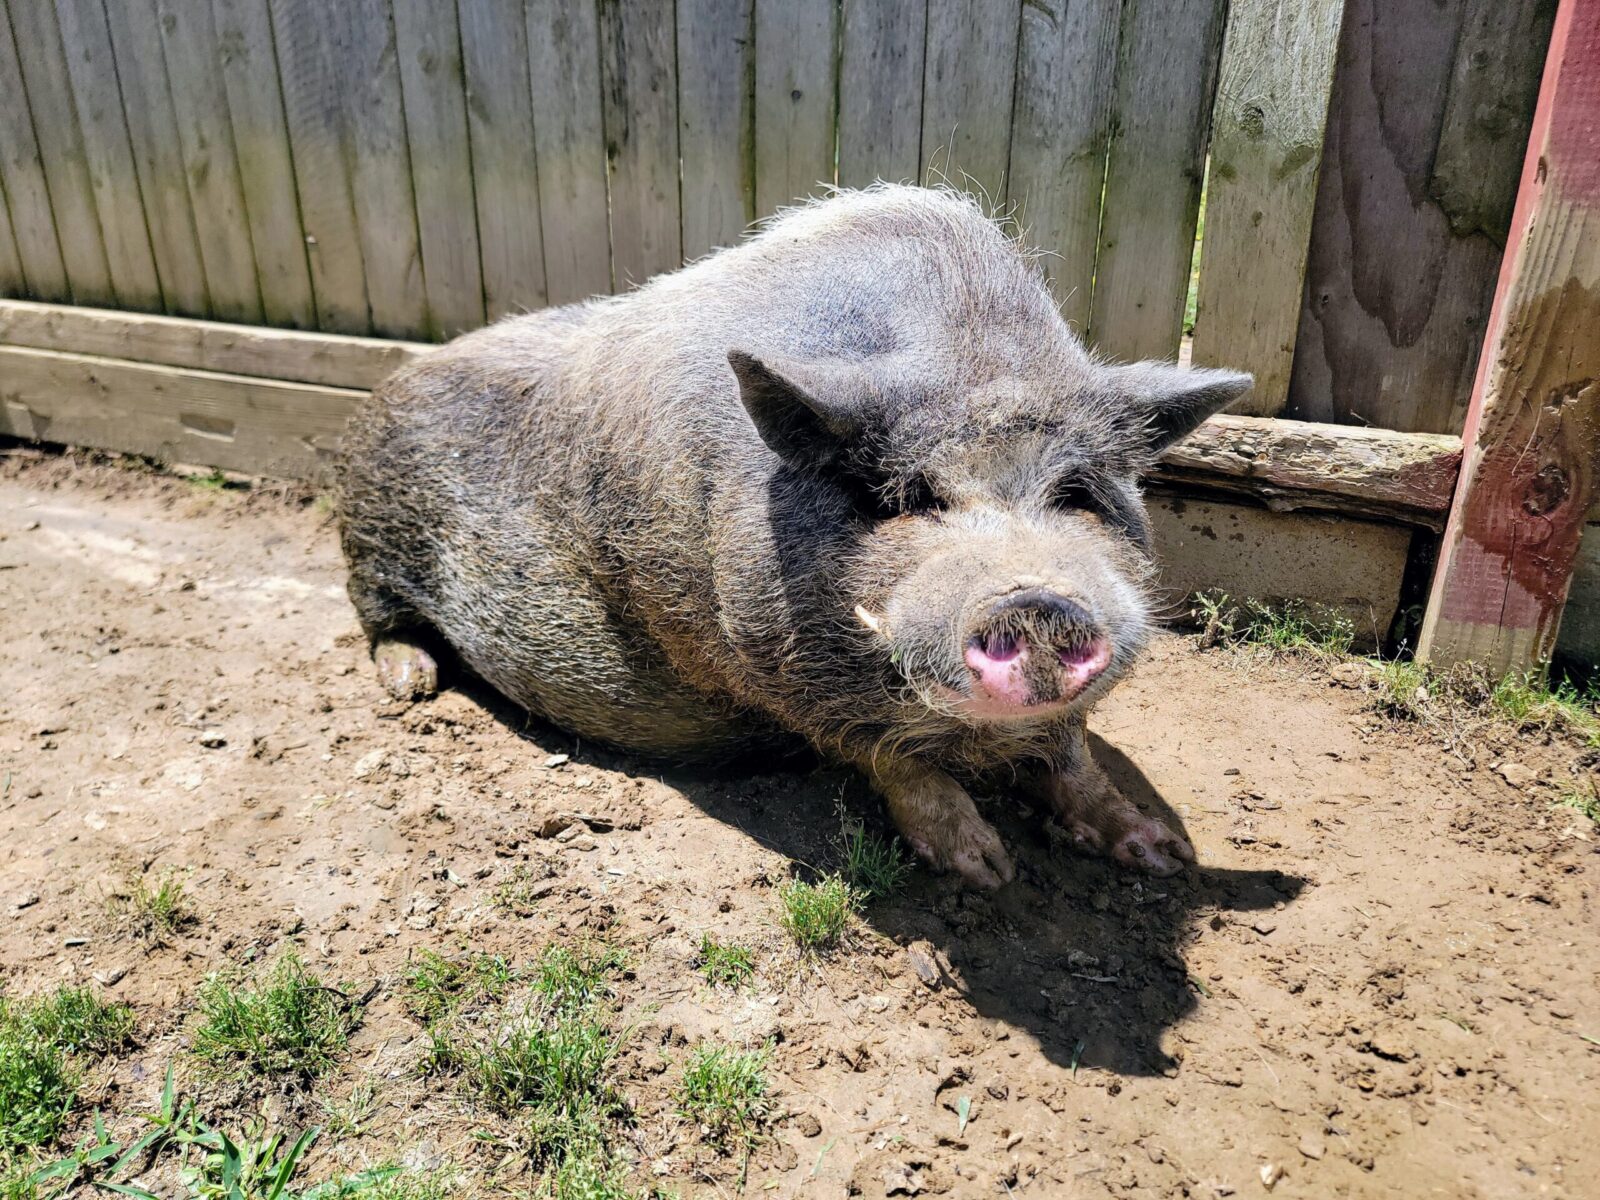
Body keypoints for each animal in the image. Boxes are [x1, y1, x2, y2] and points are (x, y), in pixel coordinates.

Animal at [336, 185, 1251, 887]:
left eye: (1076, 494)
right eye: (908, 497)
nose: (1037, 601)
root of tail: (392, 379)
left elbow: (1073, 756)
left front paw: (1163, 856)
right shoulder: (761, 661)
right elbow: (896, 760)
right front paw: (985, 871)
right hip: (369, 534)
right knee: (376, 616)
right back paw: (411, 687)